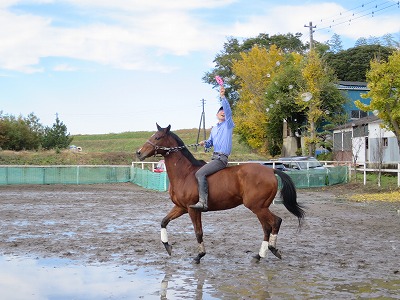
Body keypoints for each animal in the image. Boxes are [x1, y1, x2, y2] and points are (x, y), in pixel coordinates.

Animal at [136, 123, 304, 264]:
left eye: (157, 137)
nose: (139, 152)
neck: (185, 174)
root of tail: (271, 170)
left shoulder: (192, 210)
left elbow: (198, 232)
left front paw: (199, 255)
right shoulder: (181, 208)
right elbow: (164, 221)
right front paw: (167, 246)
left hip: (258, 207)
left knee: (275, 222)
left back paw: (271, 250)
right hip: (260, 208)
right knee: (267, 227)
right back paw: (260, 254)